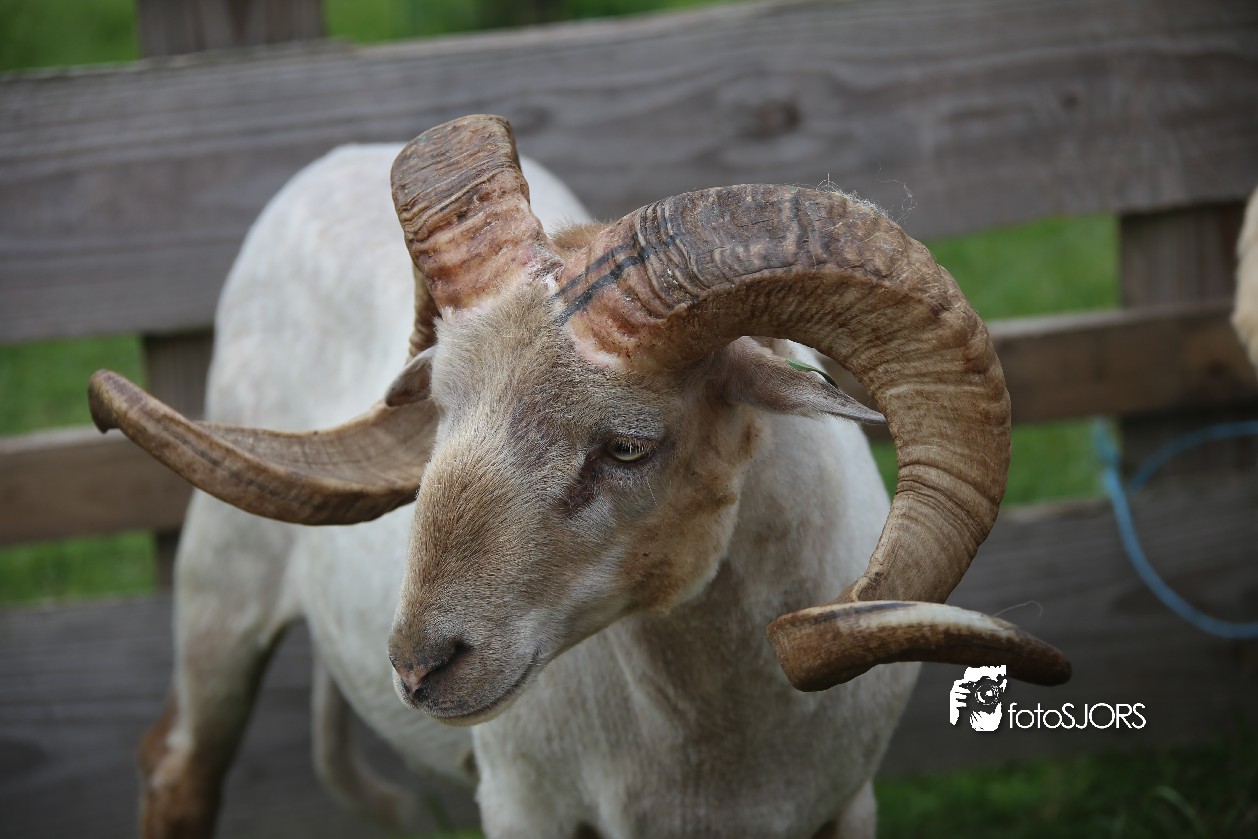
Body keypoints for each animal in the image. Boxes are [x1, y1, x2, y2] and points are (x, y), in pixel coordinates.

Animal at [89, 114, 1069, 838]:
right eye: (442, 409)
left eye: (628, 447)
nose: (421, 665)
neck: (718, 745)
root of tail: (334, 155)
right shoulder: (526, 805)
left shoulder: (845, 804)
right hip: (220, 591)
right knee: (175, 768)